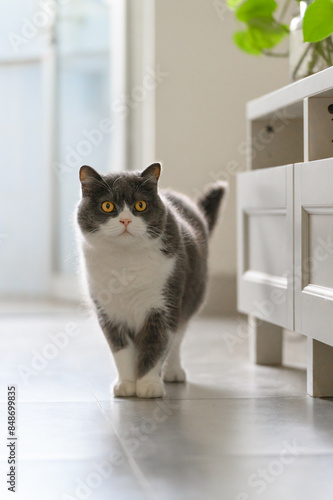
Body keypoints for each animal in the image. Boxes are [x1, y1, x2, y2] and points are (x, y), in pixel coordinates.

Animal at [76, 164, 226, 398]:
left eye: (140, 205)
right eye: (107, 206)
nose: (125, 220)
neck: (126, 262)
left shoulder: (164, 305)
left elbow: (157, 344)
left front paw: (148, 385)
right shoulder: (108, 312)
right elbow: (121, 350)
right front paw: (127, 384)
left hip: (191, 297)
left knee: (177, 338)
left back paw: (173, 372)